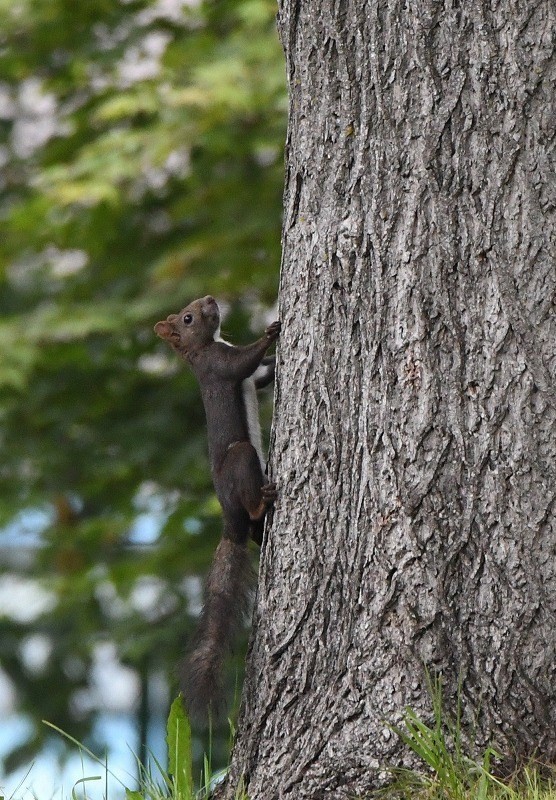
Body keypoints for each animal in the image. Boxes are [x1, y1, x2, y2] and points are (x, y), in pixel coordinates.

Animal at [154, 294, 280, 720]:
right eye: (188, 318)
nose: (210, 299)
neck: (206, 346)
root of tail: (231, 521)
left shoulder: (246, 375)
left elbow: (260, 375)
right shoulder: (217, 366)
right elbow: (242, 364)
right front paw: (271, 331)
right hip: (241, 458)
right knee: (252, 497)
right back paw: (262, 502)